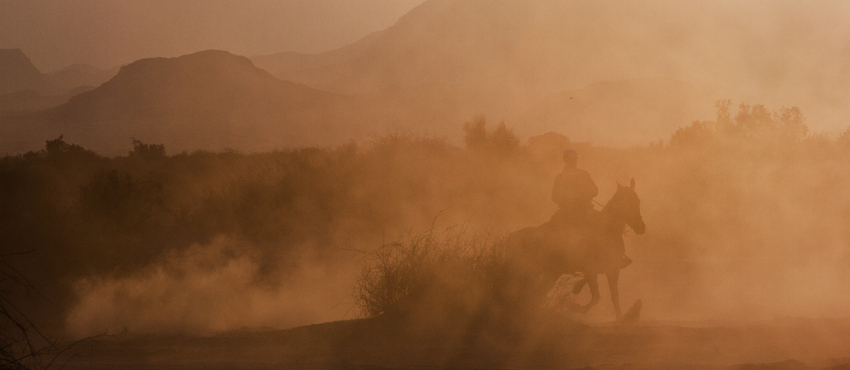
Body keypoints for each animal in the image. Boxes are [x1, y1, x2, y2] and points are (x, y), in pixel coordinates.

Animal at [504, 177, 644, 320]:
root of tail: (512, 235)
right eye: (628, 203)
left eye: (637, 201)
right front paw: (573, 306)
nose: (641, 227)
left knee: (538, 291)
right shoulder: (591, 271)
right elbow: (596, 297)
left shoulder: (612, 271)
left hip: (550, 272)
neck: (607, 232)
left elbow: (615, 301)